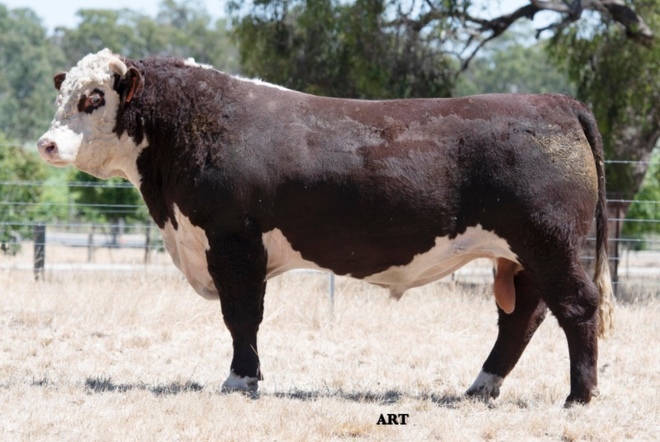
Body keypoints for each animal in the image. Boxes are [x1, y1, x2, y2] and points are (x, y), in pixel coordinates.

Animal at [37, 49, 614, 406]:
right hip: (521, 256)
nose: (46, 144)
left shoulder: (233, 242)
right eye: (62, 96)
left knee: (577, 307)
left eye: (94, 98)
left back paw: (579, 397)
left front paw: (240, 380)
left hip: (550, 244)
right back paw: (480, 388)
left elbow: (241, 316)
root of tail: (558, 102)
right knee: (521, 319)